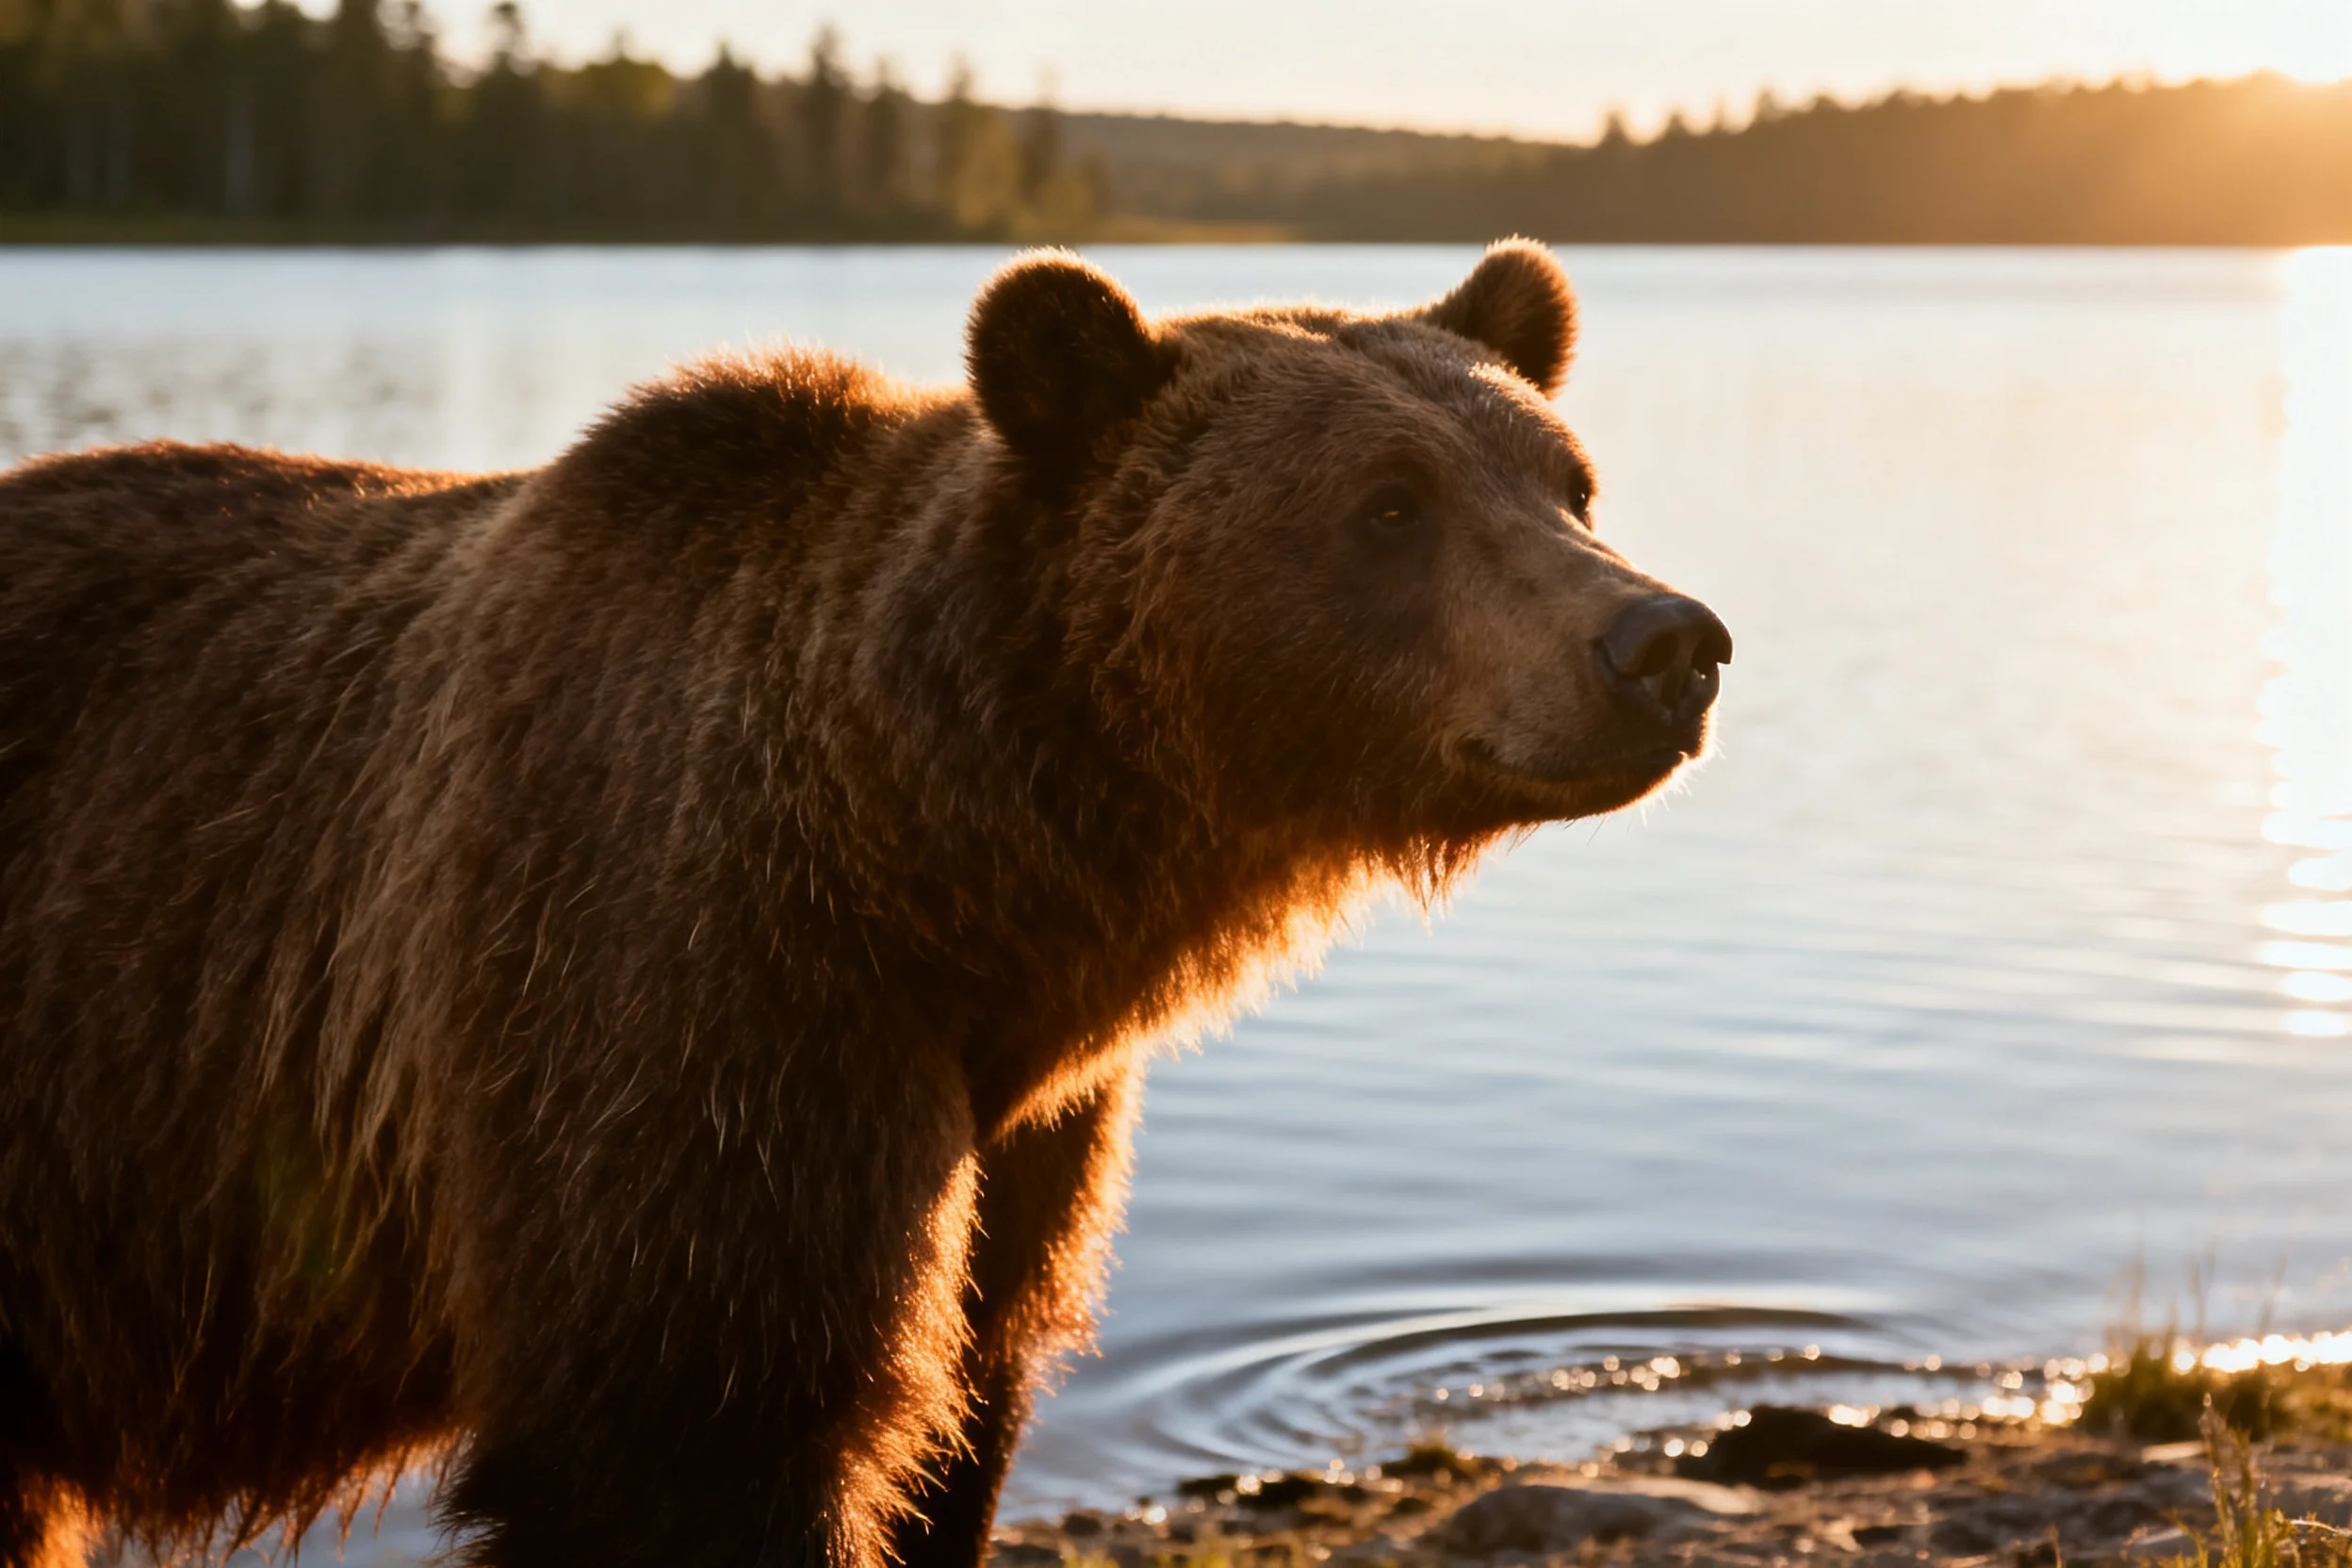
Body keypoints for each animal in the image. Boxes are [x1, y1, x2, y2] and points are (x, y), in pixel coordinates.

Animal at [0, 241, 1730, 1568]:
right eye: (1387, 503)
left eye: (1567, 481)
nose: (1665, 641)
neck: (939, 864)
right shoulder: (682, 995)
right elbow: (696, 1426)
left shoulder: (1022, 1129)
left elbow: (963, 1397)